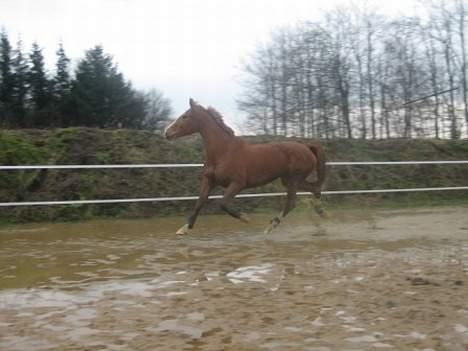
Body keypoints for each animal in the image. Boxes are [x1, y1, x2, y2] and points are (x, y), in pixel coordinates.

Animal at [166, 99, 328, 235]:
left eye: (185, 116)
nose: (167, 132)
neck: (223, 151)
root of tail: (306, 146)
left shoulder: (237, 184)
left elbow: (223, 204)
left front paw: (245, 218)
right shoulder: (210, 181)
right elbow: (199, 202)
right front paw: (184, 229)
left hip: (294, 179)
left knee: (292, 202)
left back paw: (271, 226)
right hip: (288, 180)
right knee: (314, 190)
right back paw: (320, 214)